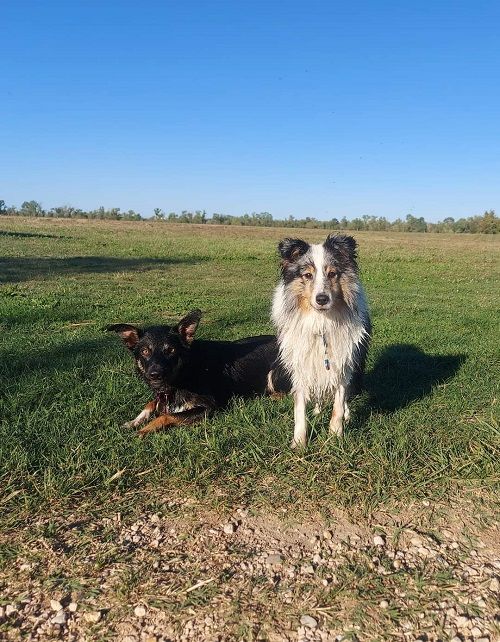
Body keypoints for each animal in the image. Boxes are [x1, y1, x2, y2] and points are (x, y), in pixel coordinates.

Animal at [107, 308, 292, 436]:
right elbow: (151, 403)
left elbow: (166, 416)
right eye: (145, 351)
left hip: (276, 373)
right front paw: (134, 421)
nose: (155, 375)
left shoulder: (208, 406)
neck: (186, 370)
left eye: (171, 350)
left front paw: (145, 429)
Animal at [270, 232, 372, 448]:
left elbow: (338, 404)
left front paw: (335, 436)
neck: (321, 322)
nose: (322, 299)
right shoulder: (301, 362)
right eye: (308, 275)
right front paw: (299, 443)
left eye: (332, 274)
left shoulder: (343, 360)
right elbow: (299, 409)